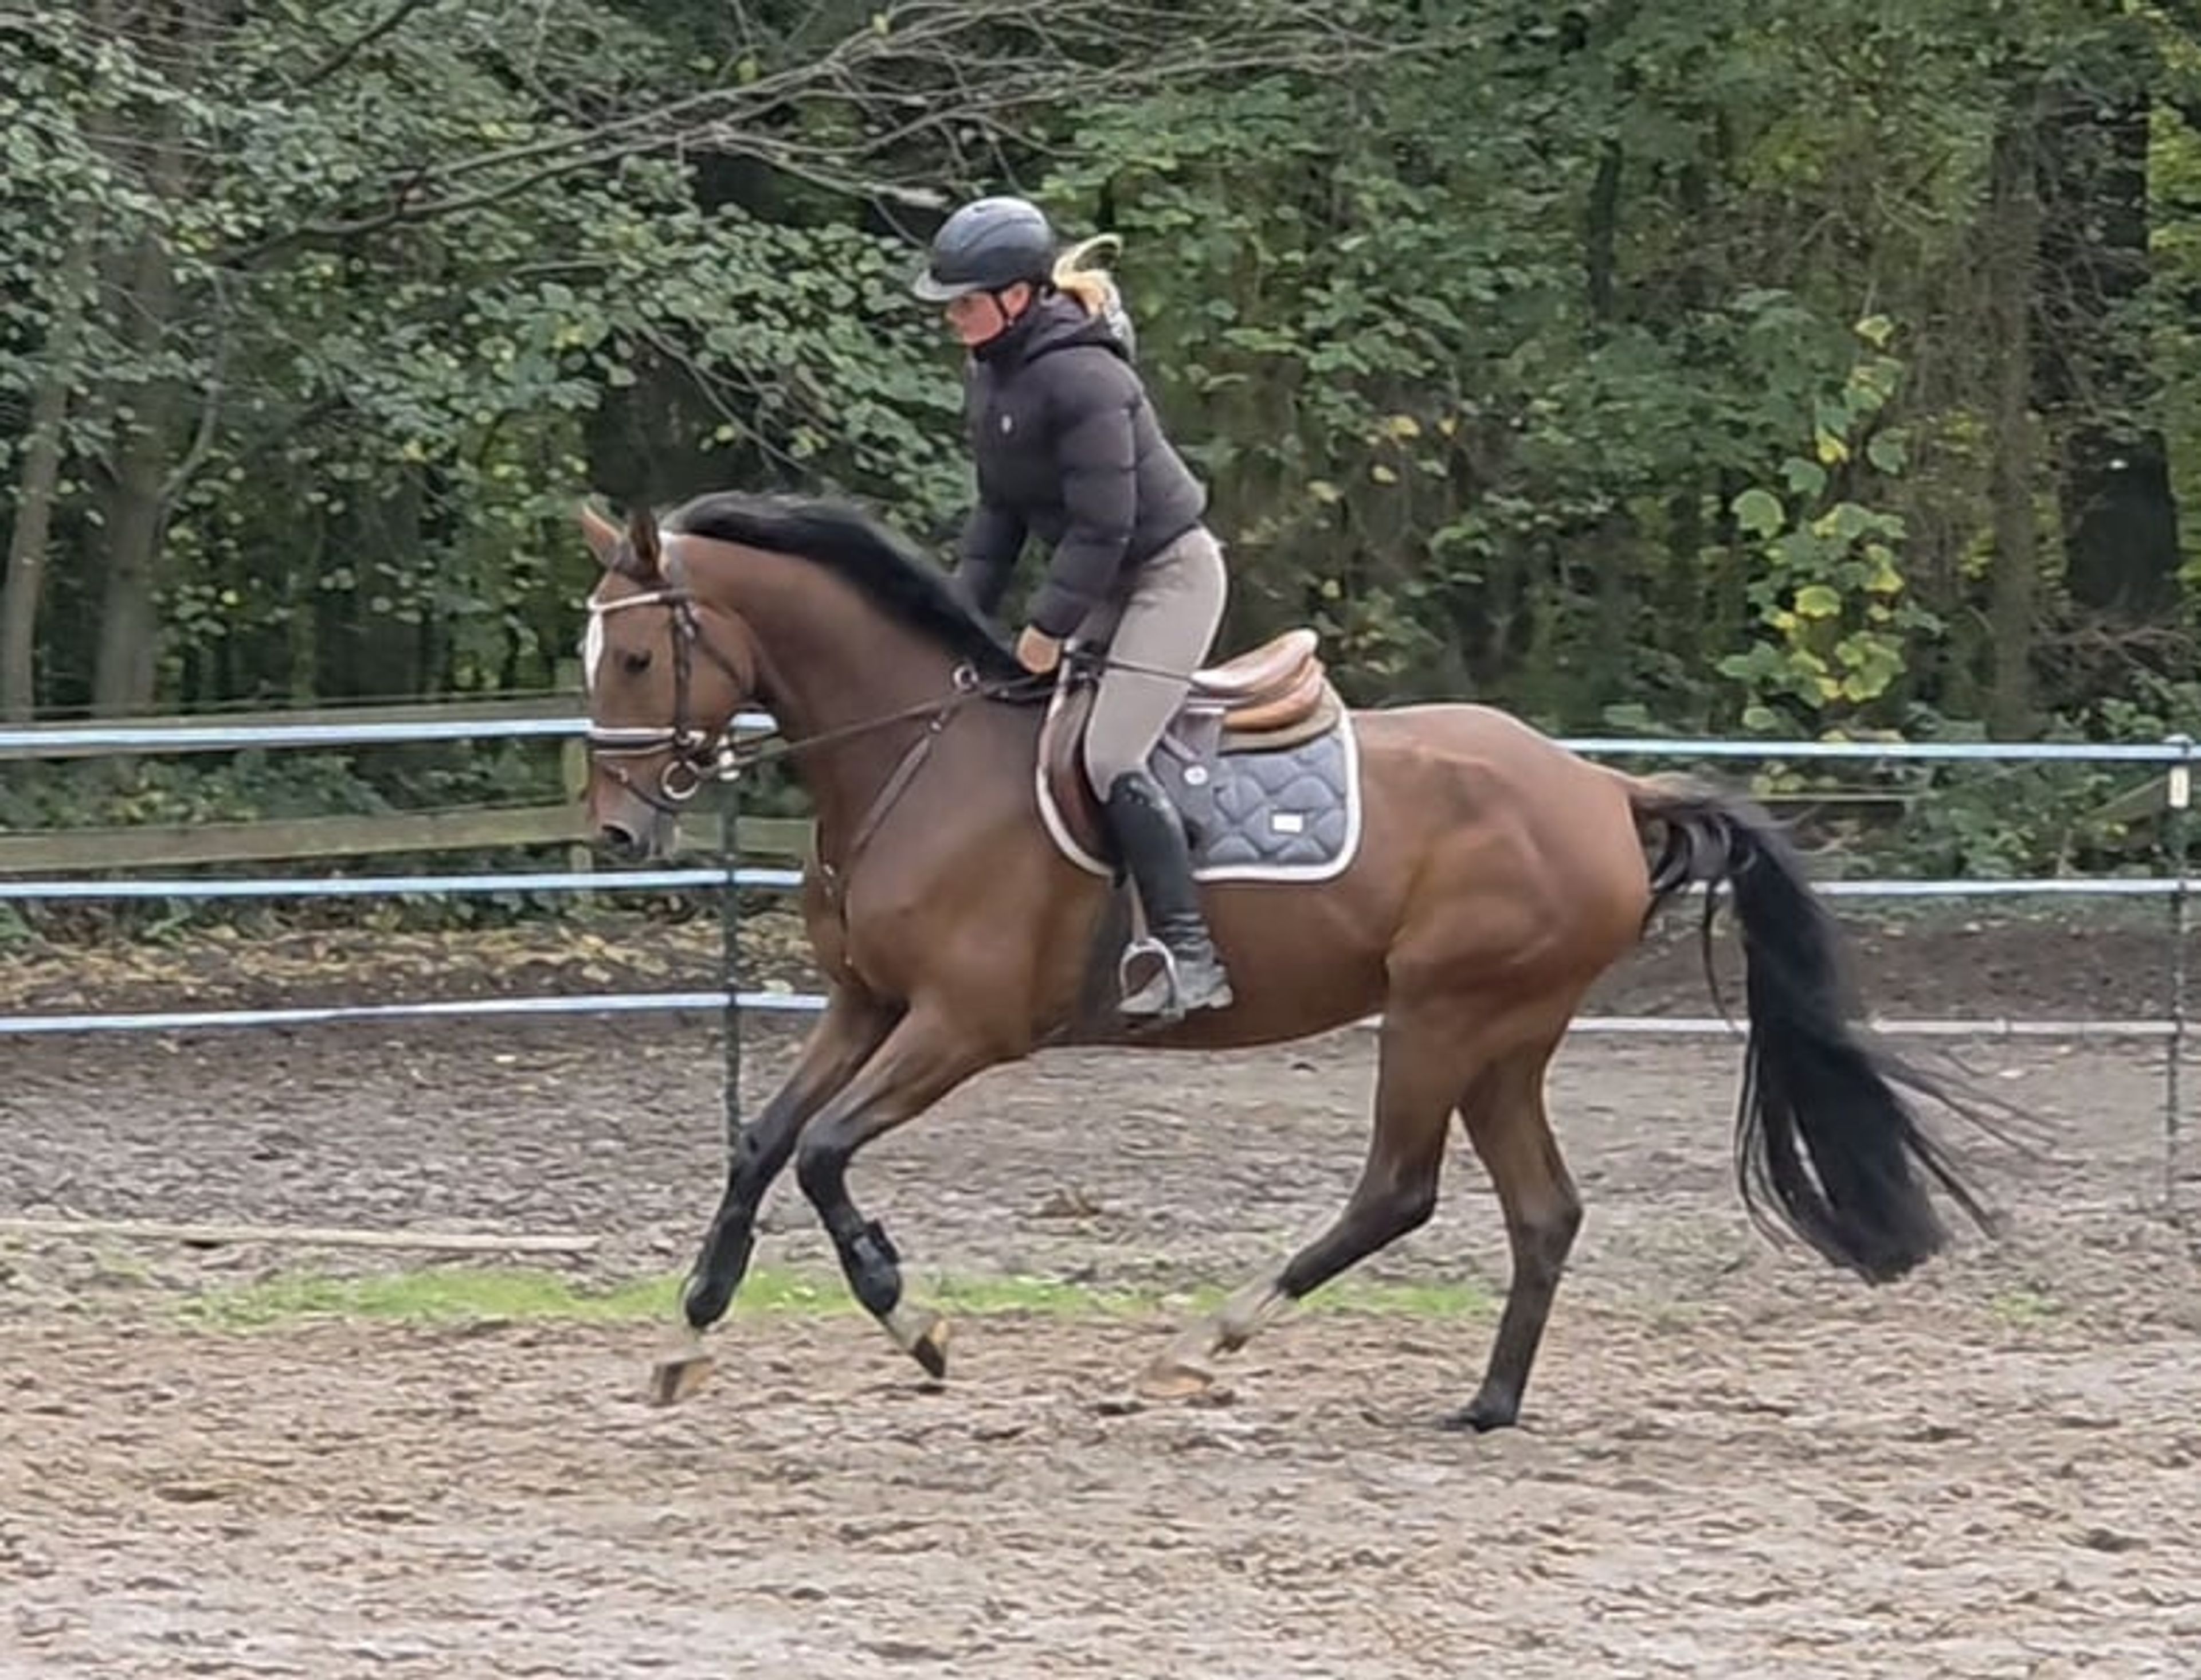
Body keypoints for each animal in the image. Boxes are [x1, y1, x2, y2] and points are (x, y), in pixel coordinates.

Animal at [574, 490, 1998, 1428]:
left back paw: (1210, 1343)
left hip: (1441, 1014)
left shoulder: (962, 1026)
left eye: (637, 654)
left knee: (1398, 1191)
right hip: (1506, 1035)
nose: (615, 830)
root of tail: (1604, 787)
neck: (917, 753)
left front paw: (910, 1320)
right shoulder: (867, 1004)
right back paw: (1486, 1402)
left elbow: (821, 1154)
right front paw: (691, 1328)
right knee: (1542, 1210)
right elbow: (761, 1142)